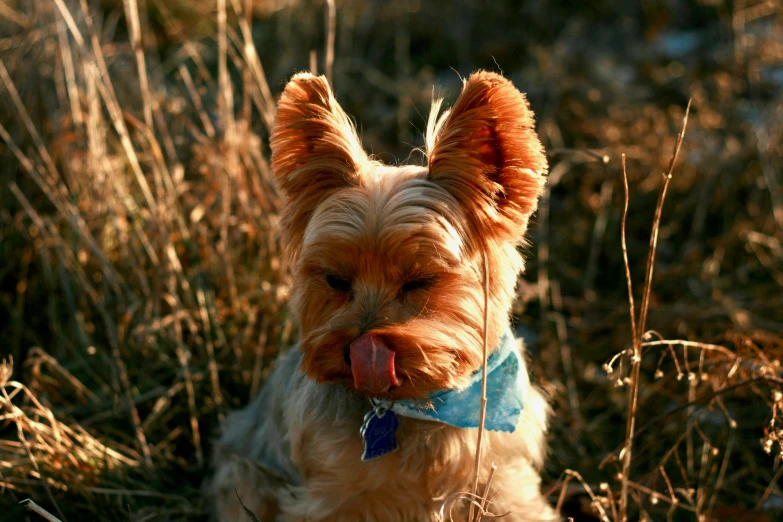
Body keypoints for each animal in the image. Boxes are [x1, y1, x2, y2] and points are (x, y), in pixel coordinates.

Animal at [211, 70, 560, 520]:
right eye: (336, 280)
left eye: (420, 280)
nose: (360, 350)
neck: (419, 405)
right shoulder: (329, 496)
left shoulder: (502, 481)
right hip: (243, 475)